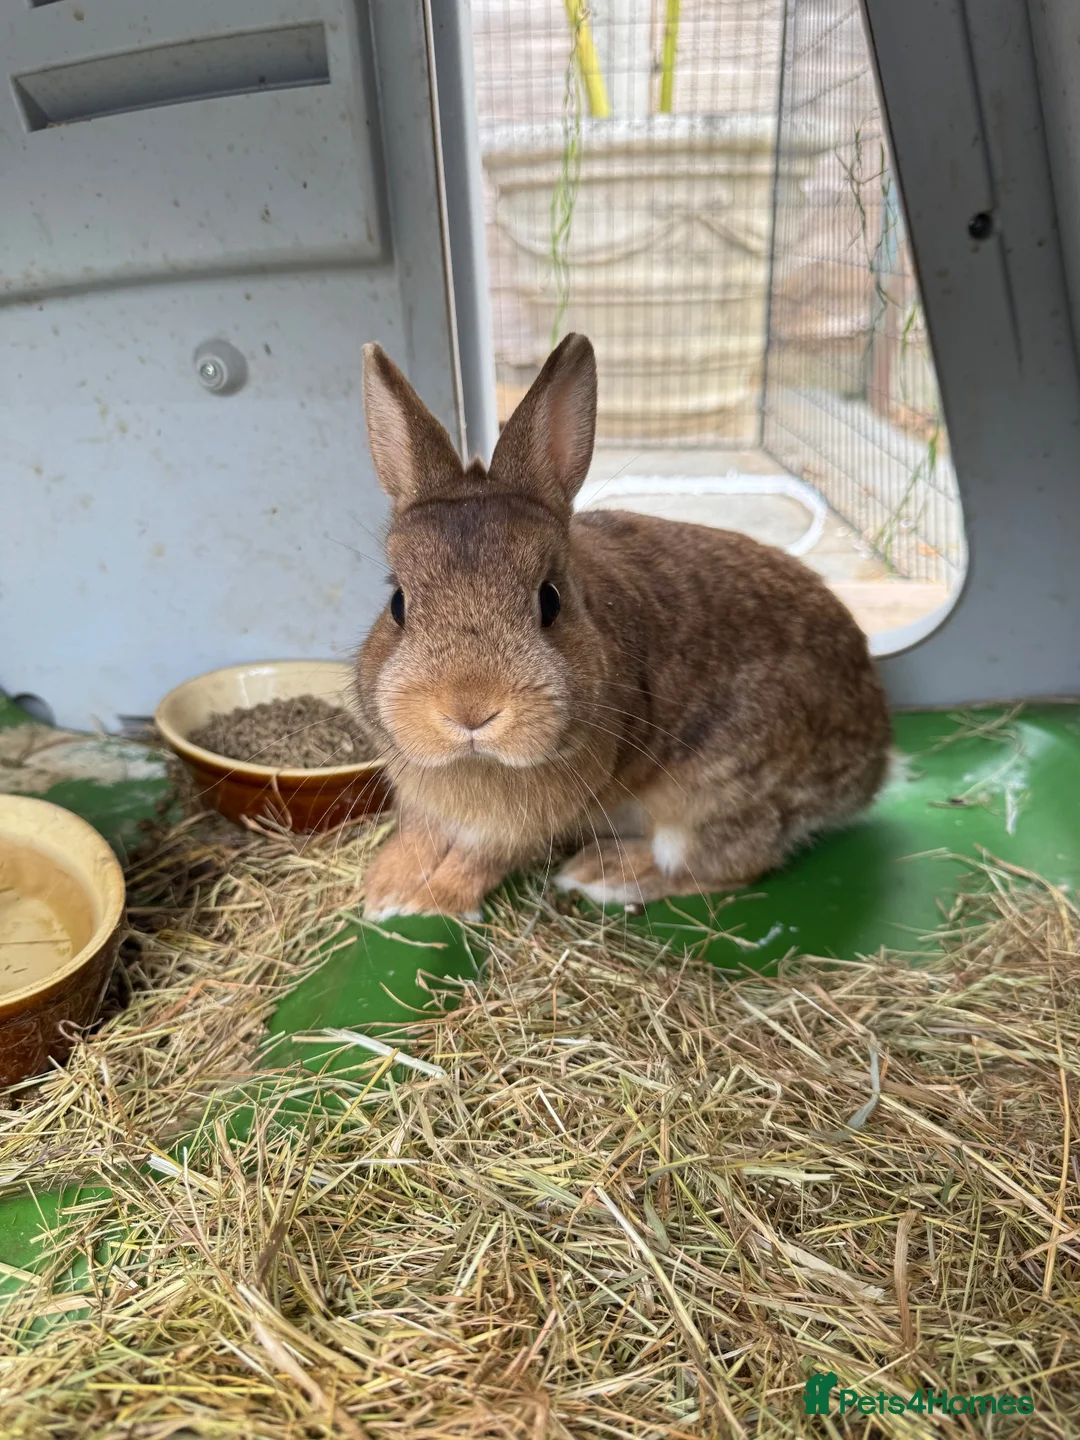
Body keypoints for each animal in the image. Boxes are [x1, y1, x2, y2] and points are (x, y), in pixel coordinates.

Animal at [355, 333, 891, 920]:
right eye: (398, 603)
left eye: (550, 600)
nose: (469, 709)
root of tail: (873, 767)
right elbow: (420, 834)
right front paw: (386, 889)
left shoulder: (525, 822)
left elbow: (484, 856)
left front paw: (438, 900)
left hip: (712, 797)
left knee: (724, 864)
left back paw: (604, 873)